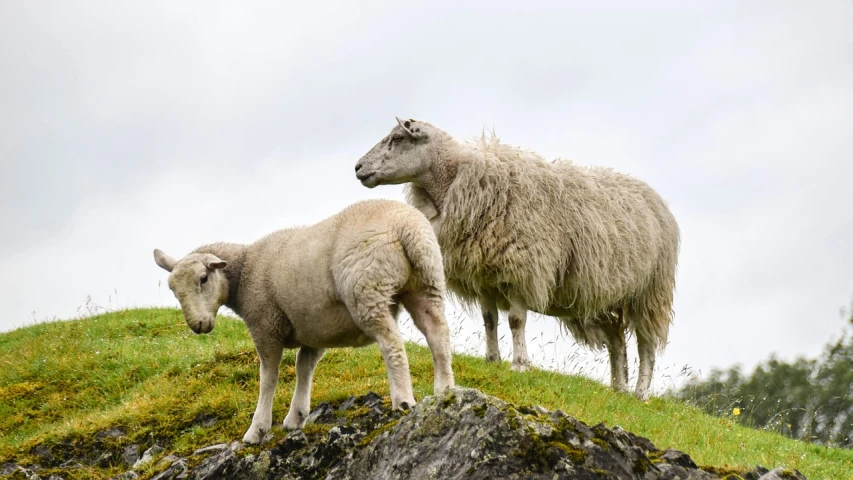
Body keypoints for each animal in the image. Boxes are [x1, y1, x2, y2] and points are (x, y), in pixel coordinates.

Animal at [153, 198, 460, 442]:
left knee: (392, 344)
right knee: (438, 336)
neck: (245, 270)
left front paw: (257, 430)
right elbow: (304, 368)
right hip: (427, 282)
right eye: (173, 290)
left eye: (204, 279)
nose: (197, 326)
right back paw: (444, 390)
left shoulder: (266, 325)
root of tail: (406, 226)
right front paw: (296, 417)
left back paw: (403, 400)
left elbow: (268, 378)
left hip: (367, 290)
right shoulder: (315, 329)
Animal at [352, 117, 680, 402]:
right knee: (617, 342)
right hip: (606, 296)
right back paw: (618, 389)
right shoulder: (484, 276)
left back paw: (640, 393)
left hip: (650, 293)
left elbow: (515, 320)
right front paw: (492, 359)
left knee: (647, 345)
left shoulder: (522, 270)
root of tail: (657, 200)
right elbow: (489, 321)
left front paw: (520, 364)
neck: (454, 180)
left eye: (397, 138)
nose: (358, 168)